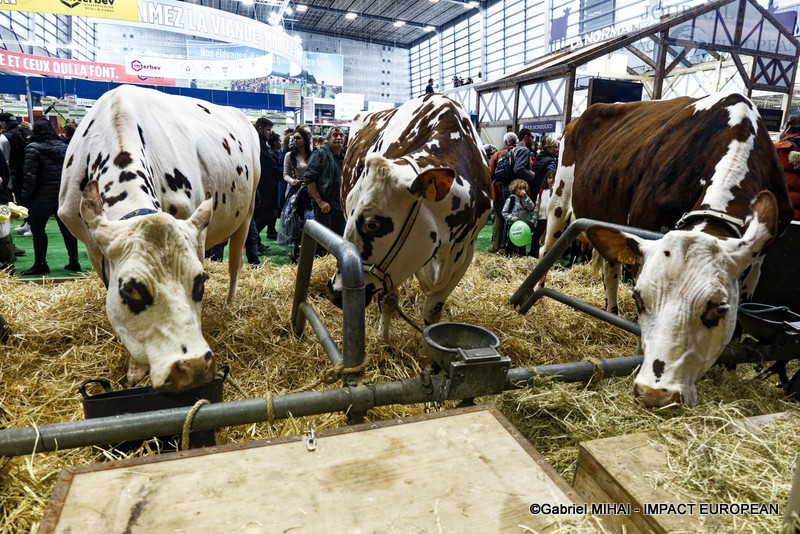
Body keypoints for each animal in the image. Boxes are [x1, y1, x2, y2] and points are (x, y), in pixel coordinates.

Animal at [59, 84, 260, 394]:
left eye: (200, 281)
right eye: (130, 289)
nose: (192, 367)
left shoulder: (195, 233)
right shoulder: (91, 244)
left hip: (247, 212)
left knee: (235, 261)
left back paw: (229, 304)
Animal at [326, 93, 490, 342]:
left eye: (372, 224)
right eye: (350, 207)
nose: (336, 293)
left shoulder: (464, 253)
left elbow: (433, 311)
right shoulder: (391, 271)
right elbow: (389, 299)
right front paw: (384, 341)